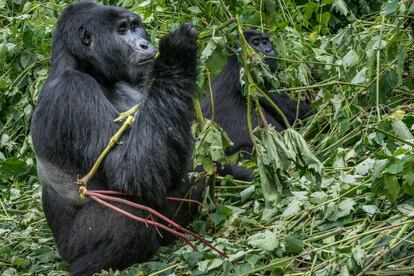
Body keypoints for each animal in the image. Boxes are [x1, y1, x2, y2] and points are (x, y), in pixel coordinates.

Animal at [30, 1, 202, 274]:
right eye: (122, 30)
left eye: (134, 26)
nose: (144, 44)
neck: (84, 65)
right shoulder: (73, 91)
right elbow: (130, 170)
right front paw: (177, 55)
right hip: (70, 247)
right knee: (127, 214)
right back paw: (89, 264)